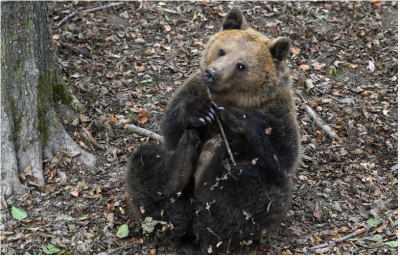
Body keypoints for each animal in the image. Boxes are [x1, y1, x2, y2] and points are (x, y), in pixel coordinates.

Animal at [125, 9, 300, 255]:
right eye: (222, 50)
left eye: (241, 65)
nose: (211, 73)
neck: (230, 96)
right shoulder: (193, 88)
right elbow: (171, 126)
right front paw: (199, 111)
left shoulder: (278, 109)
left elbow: (282, 150)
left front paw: (234, 116)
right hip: (169, 196)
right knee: (146, 165)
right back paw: (183, 165)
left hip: (244, 195)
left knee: (255, 192)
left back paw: (208, 171)